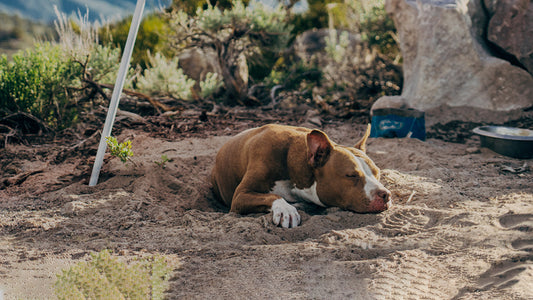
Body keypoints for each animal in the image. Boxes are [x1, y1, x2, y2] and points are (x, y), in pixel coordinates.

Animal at [210, 124, 388, 227]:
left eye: (378, 173)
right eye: (351, 175)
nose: (386, 194)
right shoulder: (240, 196)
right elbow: (272, 196)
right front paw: (286, 209)